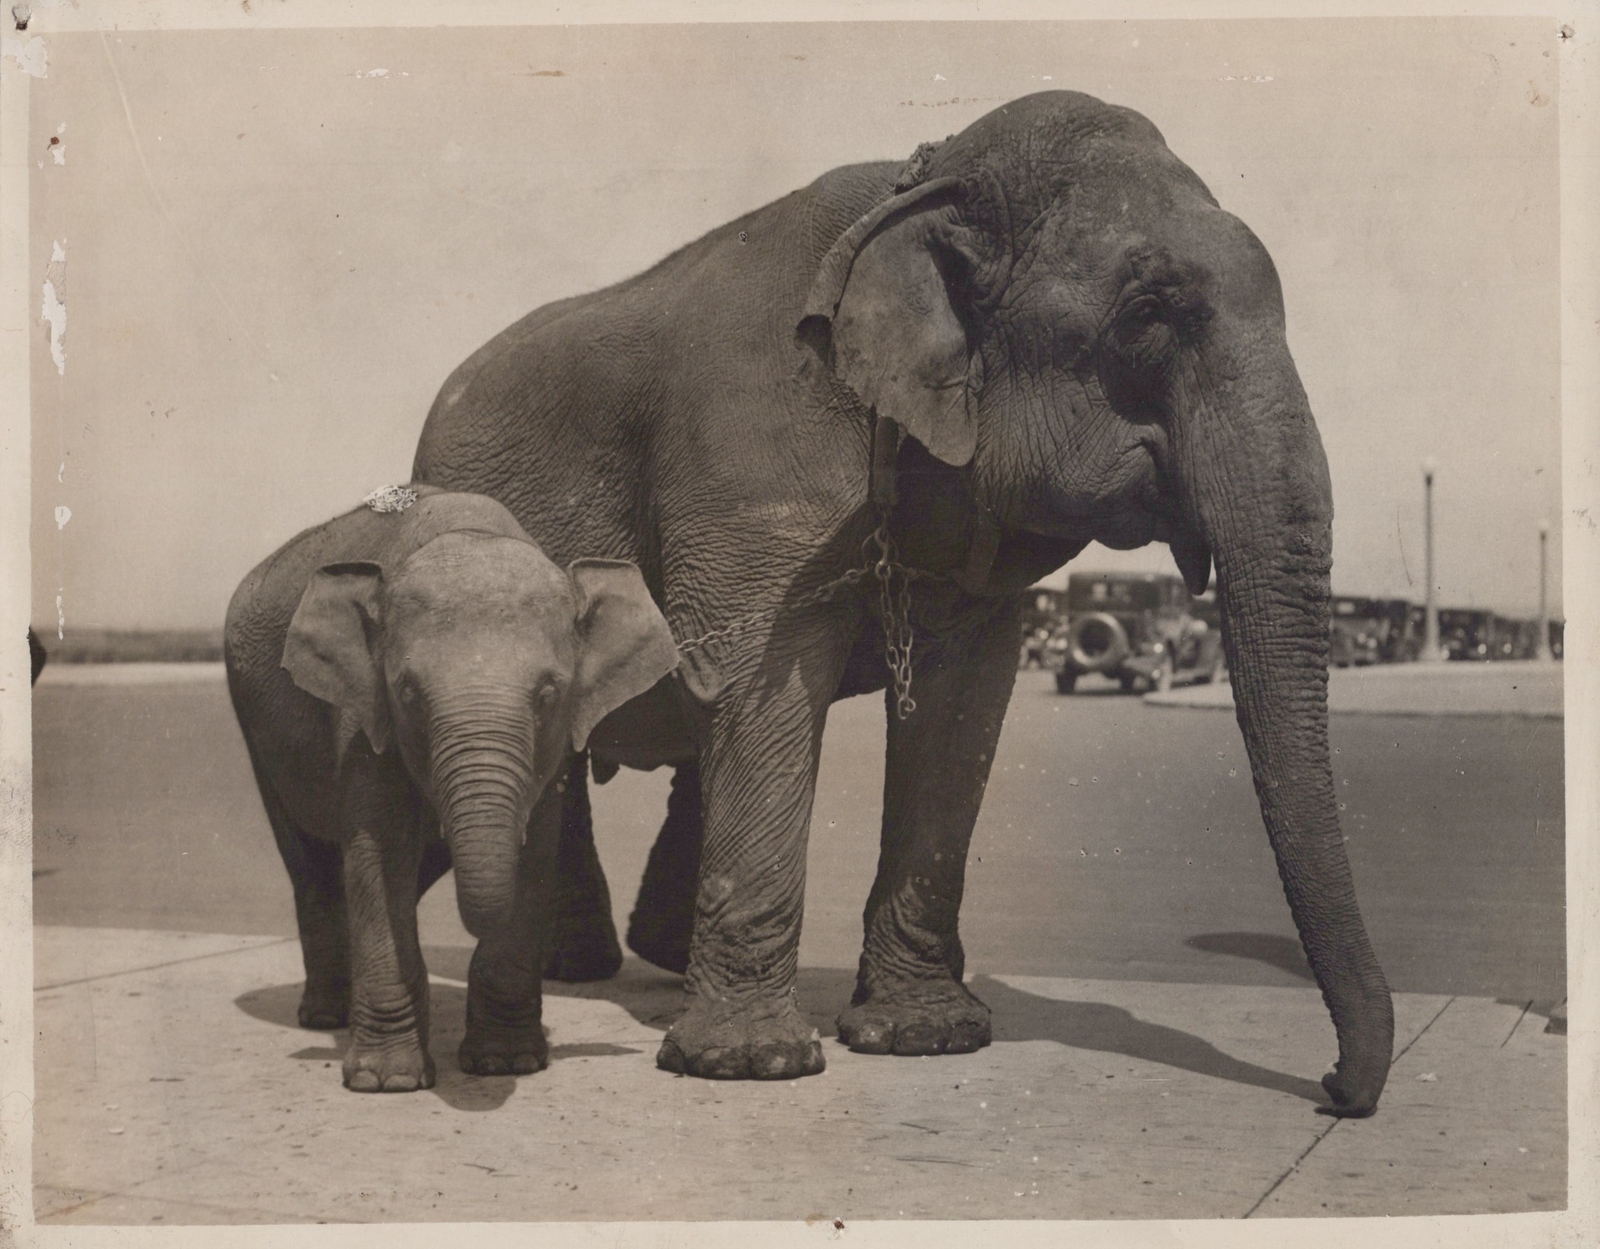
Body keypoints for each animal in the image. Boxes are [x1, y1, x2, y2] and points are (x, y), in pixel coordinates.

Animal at [223, 485, 681, 1090]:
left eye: (548, 694)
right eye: (409, 692)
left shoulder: (549, 754)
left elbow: (535, 853)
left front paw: (505, 1063)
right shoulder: (362, 718)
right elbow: (378, 852)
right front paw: (388, 1081)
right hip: (253, 726)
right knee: (312, 867)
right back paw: (326, 1016)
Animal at [411, 90, 1395, 1116]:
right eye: (1146, 314)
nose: (1336, 1089)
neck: (927, 184)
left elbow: (962, 701)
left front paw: (924, 1035)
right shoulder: (749, 464)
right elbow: (760, 684)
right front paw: (752, 1064)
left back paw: (642, 957)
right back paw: (589, 968)